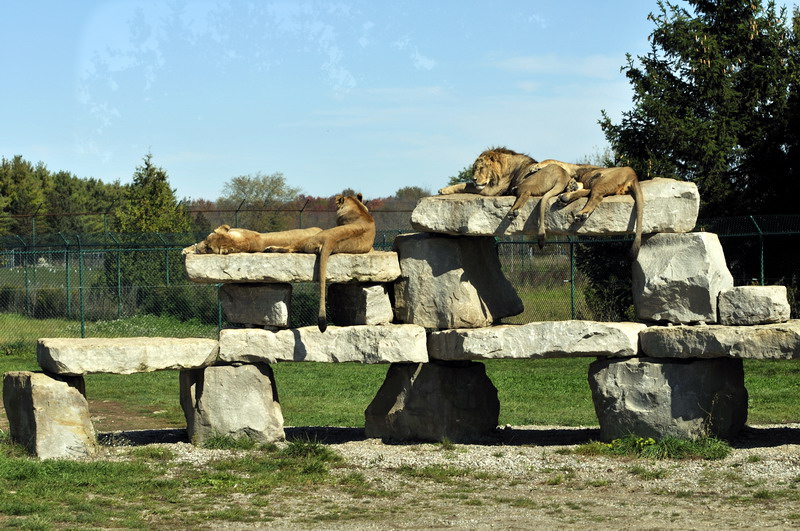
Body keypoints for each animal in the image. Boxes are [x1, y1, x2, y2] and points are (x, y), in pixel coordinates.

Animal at [438, 148, 579, 247]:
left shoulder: (491, 189)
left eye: (482, 168)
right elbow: (466, 184)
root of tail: (561, 176)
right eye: (474, 169)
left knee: (526, 193)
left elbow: (465, 184)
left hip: (528, 182)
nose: (474, 179)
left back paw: (514, 210)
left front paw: (443, 190)